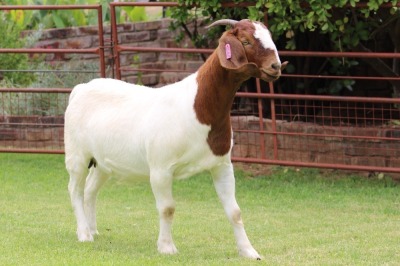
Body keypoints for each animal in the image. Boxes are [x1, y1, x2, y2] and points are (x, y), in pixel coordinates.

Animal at [64, 19, 286, 260]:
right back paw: (84, 233)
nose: (275, 66)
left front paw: (249, 251)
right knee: (74, 189)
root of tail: (80, 88)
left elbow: (234, 211)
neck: (198, 108)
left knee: (90, 190)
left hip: (103, 162)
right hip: (77, 155)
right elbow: (167, 208)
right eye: (245, 41)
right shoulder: (160, 169)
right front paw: (166, 247)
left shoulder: (222, 165)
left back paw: (93, 229)